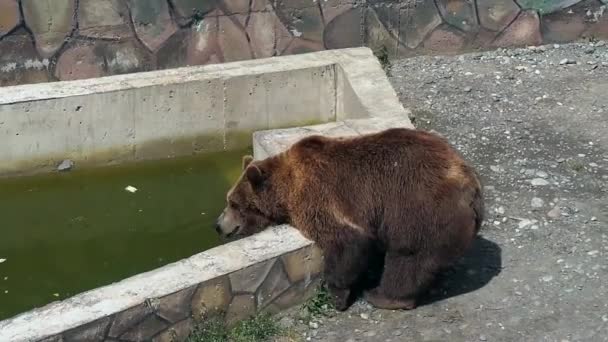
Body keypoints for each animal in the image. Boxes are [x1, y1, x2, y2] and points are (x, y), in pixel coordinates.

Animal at [214, 127, 484, 312]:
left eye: (233, 203)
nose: (217, 225)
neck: (286, 191)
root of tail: (473, 188)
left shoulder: (319, 195)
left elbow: (347, 242)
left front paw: (336, 294)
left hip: (419, 210)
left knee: (409, 256)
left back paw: (382, 295)